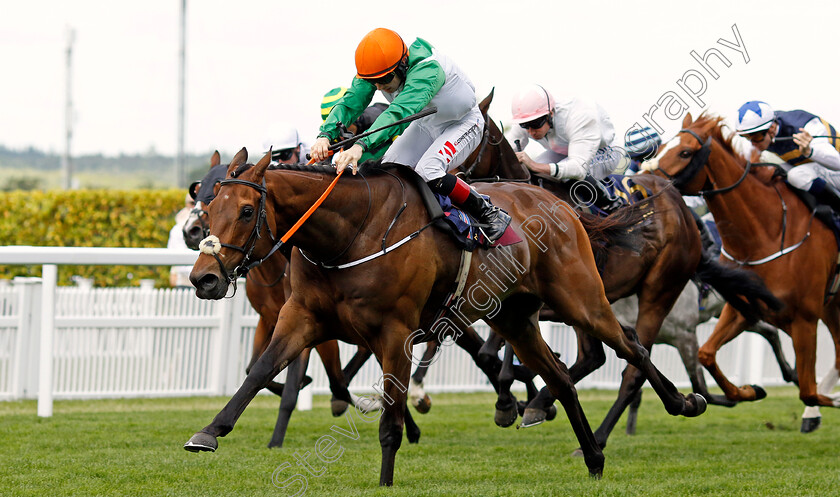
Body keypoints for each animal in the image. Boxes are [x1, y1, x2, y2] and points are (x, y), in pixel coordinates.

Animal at [180, 147, 704, 484]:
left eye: (247, 211)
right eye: (207, 206)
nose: (203, 278)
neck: (349, 234)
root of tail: (557, 201)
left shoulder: (394, 332)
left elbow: (390, 416)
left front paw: (386, 479)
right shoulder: (302, 317)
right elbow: (259, 372)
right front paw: (208, 432)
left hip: (582, 299)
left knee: (630, 346)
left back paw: (684, 402)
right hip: (514, 318)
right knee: (560, 378)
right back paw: (593, 456)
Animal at [460, 91, 780, 448]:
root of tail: (681, 208)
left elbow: (500, 353)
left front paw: (515, 397)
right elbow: (495, 351)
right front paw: (518, 395)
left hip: (658, 289)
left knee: (630, 366)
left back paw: (594, 432)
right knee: (595, 357)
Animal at [648, 112, 840, 430]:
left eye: (685, 152)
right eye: (662, 147)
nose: (642, 185)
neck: (766, 235)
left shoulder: (805, 319)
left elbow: (808, 391)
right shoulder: (742, 310)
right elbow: (706, 354)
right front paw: (750, 390)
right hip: (830, 307)